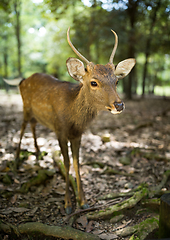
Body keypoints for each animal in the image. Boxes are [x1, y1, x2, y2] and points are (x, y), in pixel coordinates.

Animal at [3, 27, 136, 214]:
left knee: (33, 124)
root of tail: (23, 80)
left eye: (116, 81)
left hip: (35, 114)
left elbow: (77, 162)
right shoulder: (60, 130)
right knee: (22, 126)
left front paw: (83, 201)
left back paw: (37, 152)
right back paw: (15, 159)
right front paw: (67, 204)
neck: (73, 118)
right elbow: (66, 163)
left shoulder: (78, 134)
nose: (119, 104)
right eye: (93, 82)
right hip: (25, 106)